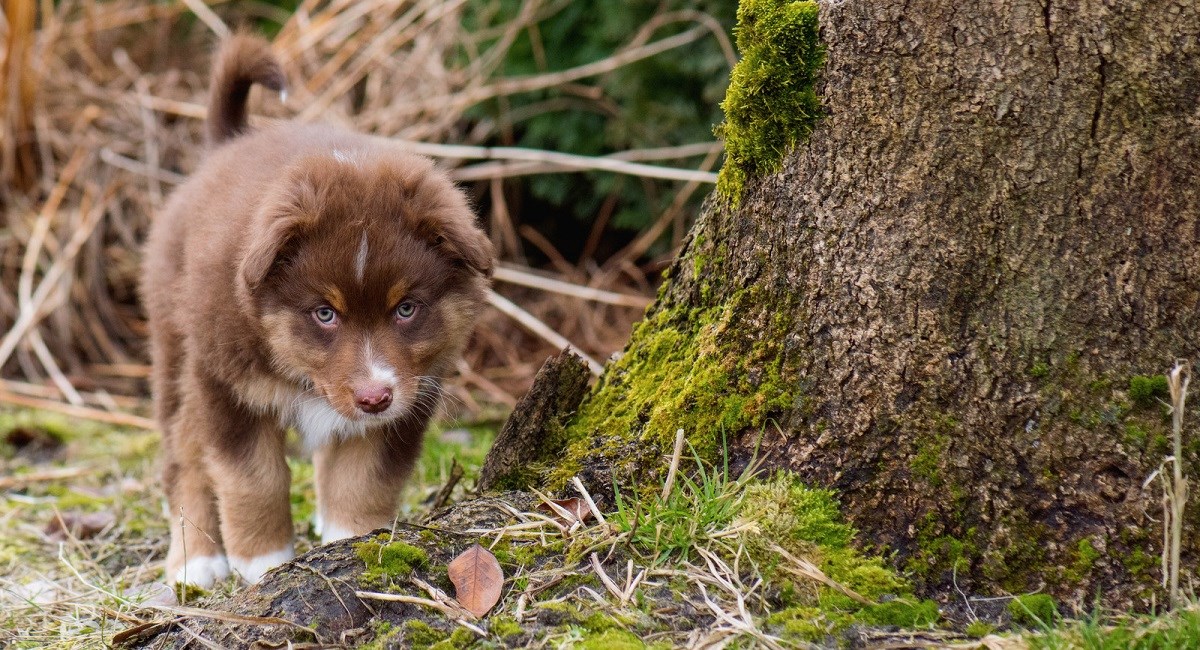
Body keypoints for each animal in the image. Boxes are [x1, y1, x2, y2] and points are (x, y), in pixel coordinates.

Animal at [141, 33, 492, 587]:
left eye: (406, 309)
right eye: (324, 314)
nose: (373, 398)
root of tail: (226, 144)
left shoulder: (413, 391)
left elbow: (364, 476)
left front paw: (353, 540)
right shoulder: (225, 383)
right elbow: (252, 476)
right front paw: (262, 560)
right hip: (175, 348)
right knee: (183, 460)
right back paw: (194, 563)